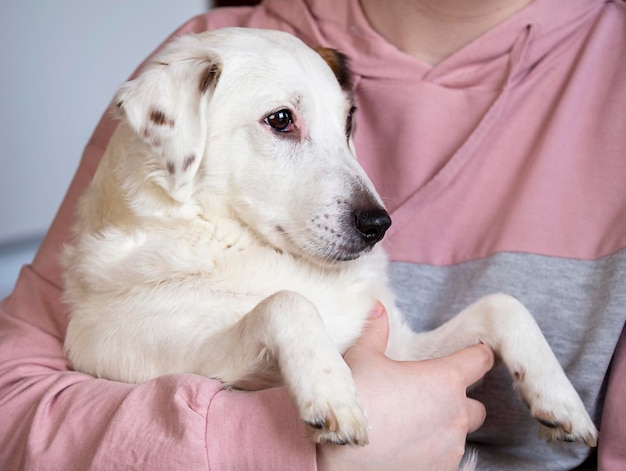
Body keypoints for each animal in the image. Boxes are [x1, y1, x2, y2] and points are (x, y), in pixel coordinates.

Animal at [62, 26, 596, 460]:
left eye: (349, 122)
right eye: (281, 119)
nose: (380, 224)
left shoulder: (401, 347)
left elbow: (503, 304)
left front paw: (560, 399)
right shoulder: (173, 358)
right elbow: (286, 302)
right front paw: (332, 389)